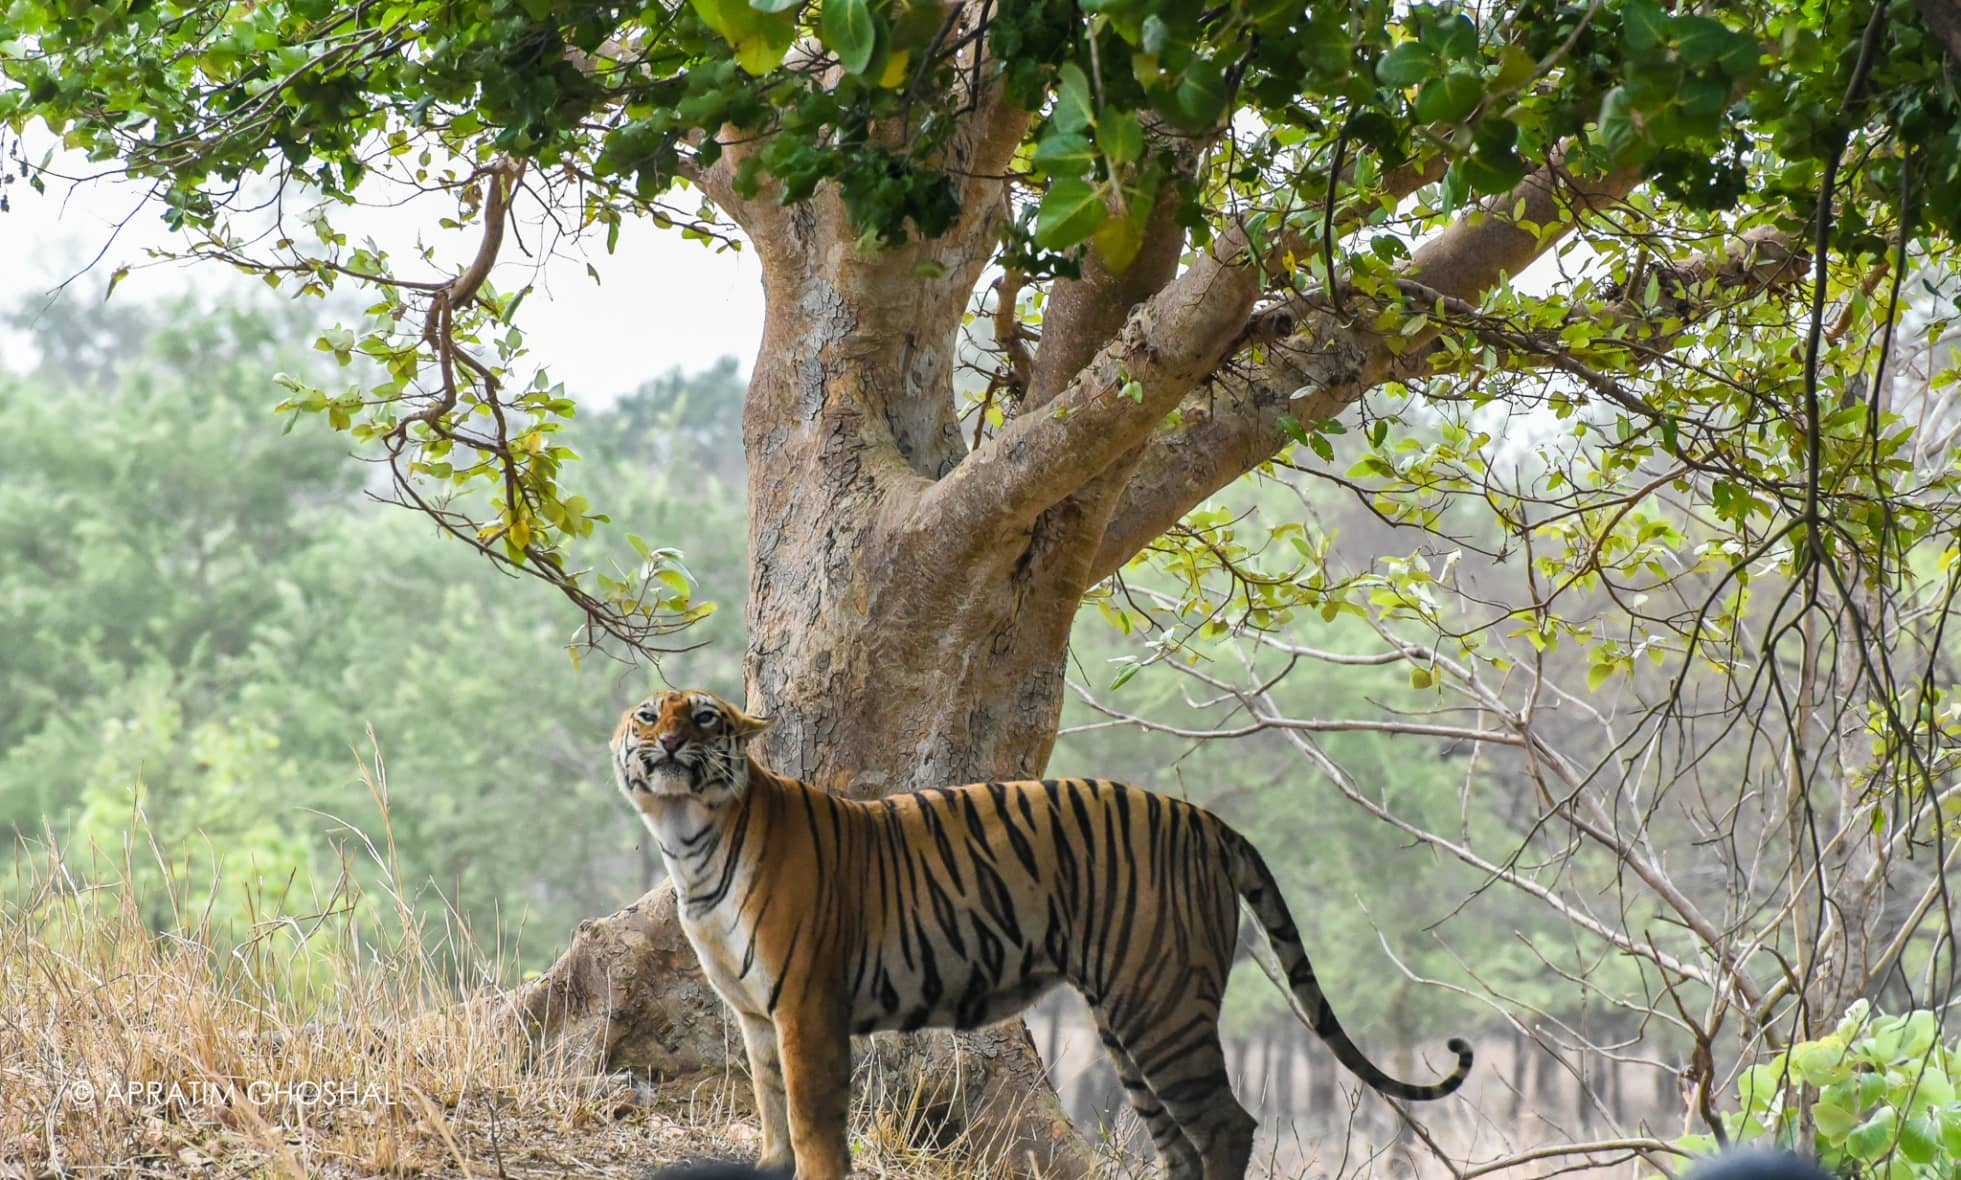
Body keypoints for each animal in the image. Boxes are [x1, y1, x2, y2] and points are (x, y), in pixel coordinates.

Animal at [611, 689, 1472, 1180]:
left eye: (707, 718)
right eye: (650, 713)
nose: (672, 742)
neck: (688, 838)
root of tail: (1204, 818)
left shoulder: (807, 1008)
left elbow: (814, 1124)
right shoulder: (755, 1015)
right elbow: (770, 1110)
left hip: (1159, 1003)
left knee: (1226, 1125)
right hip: (1125, 1020)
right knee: (1178, 1142)